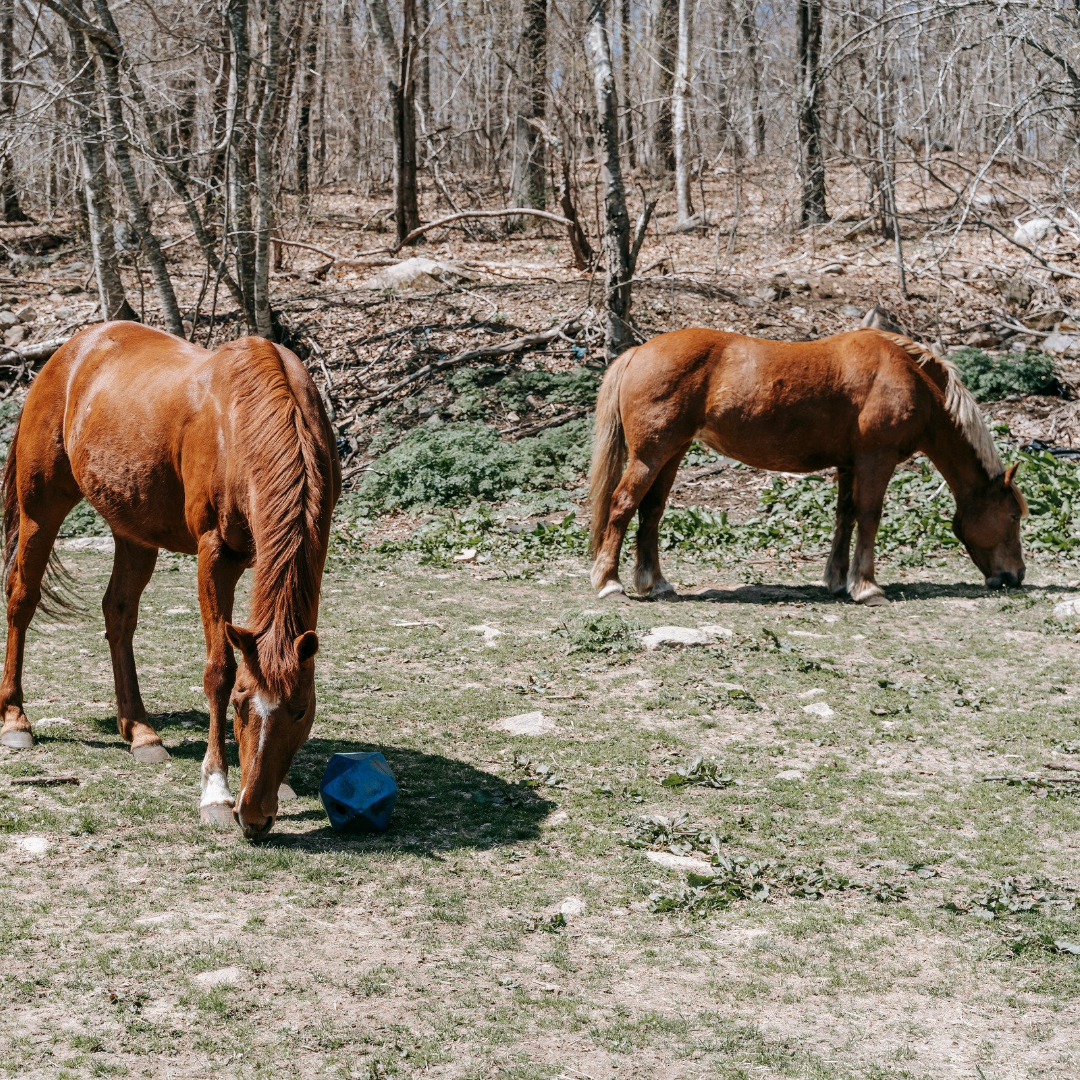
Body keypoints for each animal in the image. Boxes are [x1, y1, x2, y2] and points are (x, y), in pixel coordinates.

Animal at [1, 322, 340, 840]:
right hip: (40, 508)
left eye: (300, 709)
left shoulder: (314, 546)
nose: (254, 816)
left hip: (132, 530)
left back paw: (139, 731)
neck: (243, 423)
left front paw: (281, 784)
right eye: (241, 705)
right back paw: (16, 720)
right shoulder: (215, 555)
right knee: (22, 598)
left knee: (118, 613)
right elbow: (219, 669)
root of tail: (68, 353)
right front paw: (217, 791)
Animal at [588, 327, 1027, 605]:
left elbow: (846, 515)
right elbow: (870, 516)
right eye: (1012, 516)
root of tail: (637, 353)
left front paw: (838, 580)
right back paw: (608, 582)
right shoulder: (876, 459)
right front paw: (867, 587)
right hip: (649, 456)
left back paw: (656, 583)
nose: (1015, 576)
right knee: (623, 504)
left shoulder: (850, 464)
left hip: (672, 453)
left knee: (651, 511)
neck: (908, 377)